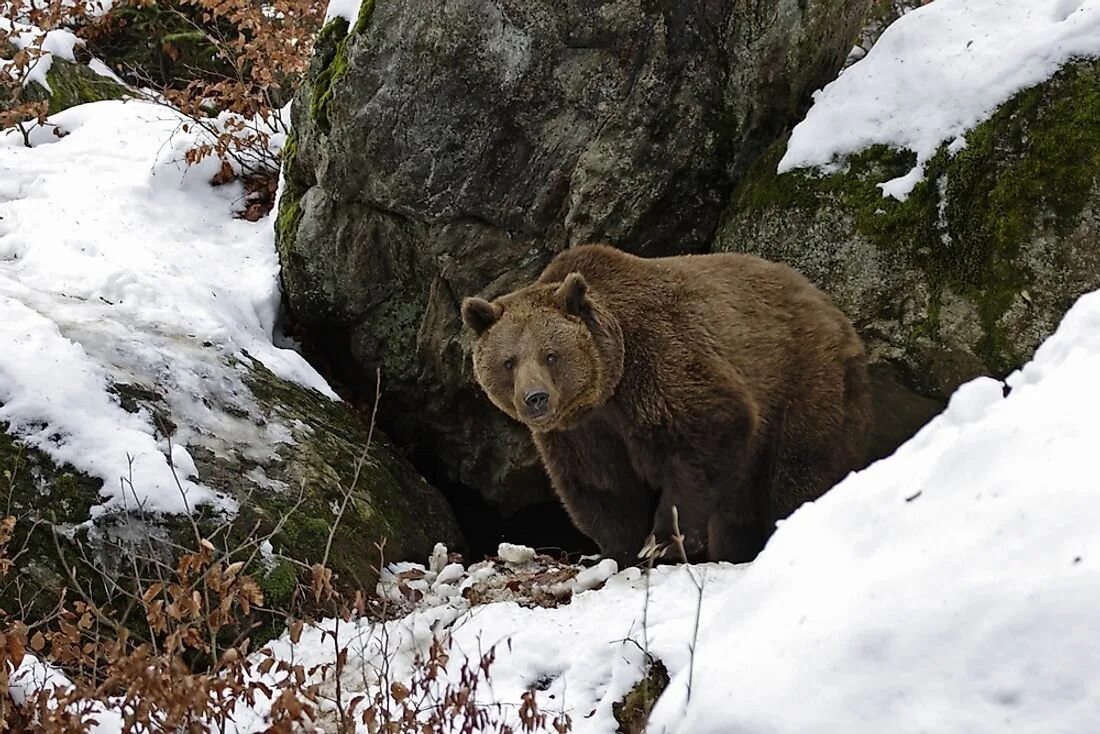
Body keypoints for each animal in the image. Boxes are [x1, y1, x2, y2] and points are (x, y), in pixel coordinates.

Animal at [459, 244, 871, 567]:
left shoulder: (659, 362)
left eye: (550, 355)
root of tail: (831, 307)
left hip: (803, 377)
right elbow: (600, 484)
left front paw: (661, 542)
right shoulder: (583, 430)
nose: (536, 398)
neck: (607, 387)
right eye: (509, 361)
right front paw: (618, 550)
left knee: (799, 469)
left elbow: (709, 431)